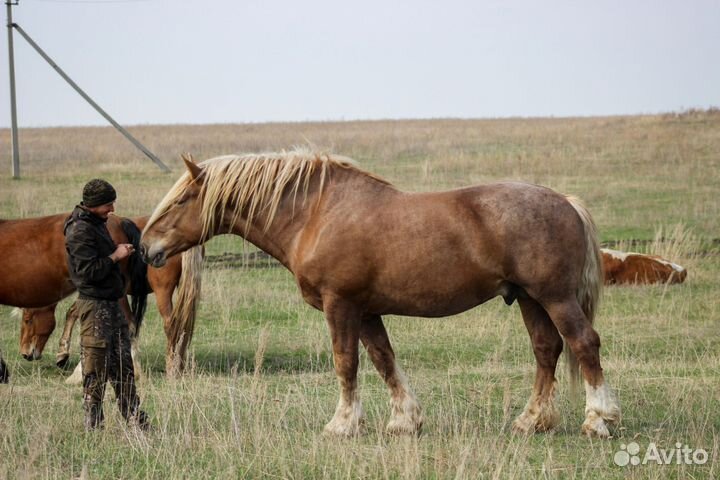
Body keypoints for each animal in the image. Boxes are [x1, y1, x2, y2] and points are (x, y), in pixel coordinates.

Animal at [1, 214, 202, 382]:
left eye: (27, 320)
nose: (25, 353)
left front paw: (67, 359)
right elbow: (75, 313)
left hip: (162, 291)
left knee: (170, 325)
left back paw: (171, 368)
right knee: (183, 327)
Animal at [139, 151, 620, 438]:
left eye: (180, 200)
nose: (146, 247)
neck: (315, 214)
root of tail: (565, 201)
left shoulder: (340, 306)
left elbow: (346, 363)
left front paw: (342, 423)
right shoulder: (367, 311)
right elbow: (383, 359)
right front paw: (405, 419)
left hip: (554, 297)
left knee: (583, 344)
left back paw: (599, 418)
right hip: (528, 298)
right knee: (546, 350)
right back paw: (531, 420)